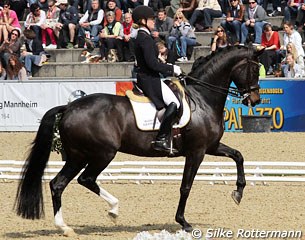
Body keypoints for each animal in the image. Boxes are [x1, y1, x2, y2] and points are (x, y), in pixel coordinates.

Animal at [14, 45, 262, 236]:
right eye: (254, 70)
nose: (255, 99)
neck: (202, 99)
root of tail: (69, 107)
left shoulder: (211, 146)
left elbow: (238, 156)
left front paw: (238, 192)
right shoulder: (197, 151)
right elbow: (186, 186)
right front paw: (183, 222)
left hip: (78, 156)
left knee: (58, 183)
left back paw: (65, 227)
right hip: (102, 153)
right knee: (86, 179)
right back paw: (113, 209)